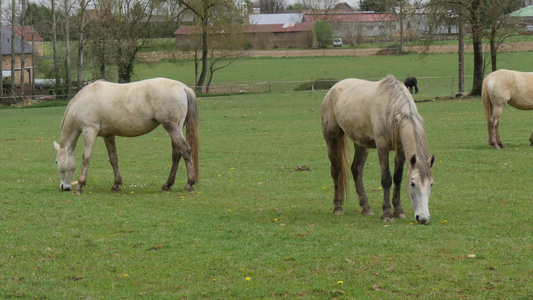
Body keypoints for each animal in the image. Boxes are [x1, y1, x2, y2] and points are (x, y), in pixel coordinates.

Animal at [53, 78, 198, 195]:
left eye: (56, 162)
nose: (64, 187)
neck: (83, 101)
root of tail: (183, 87)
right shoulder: (108, 135)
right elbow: (113, 159)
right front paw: (116, 184)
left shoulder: (89, 131)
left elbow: (86, 158)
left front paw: (79, 185)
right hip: (175, 130)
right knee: (177, 154)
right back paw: (167, 184)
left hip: (173, 129)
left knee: (186, 151)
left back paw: (189, 184)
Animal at [320, 76, 432, 224]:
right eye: (413, 184)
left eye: (431, 184)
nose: (423, 218)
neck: (392, 106)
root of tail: (333, 88)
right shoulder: (382, 146)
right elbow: (386, 179)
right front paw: (387, 214)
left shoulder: (400, 149)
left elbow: (397, 178)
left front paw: (399, 211)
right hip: (332, 139)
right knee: (336, 170)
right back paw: (338, 207)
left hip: (361, 144)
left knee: (356, 170)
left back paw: (366, 208)